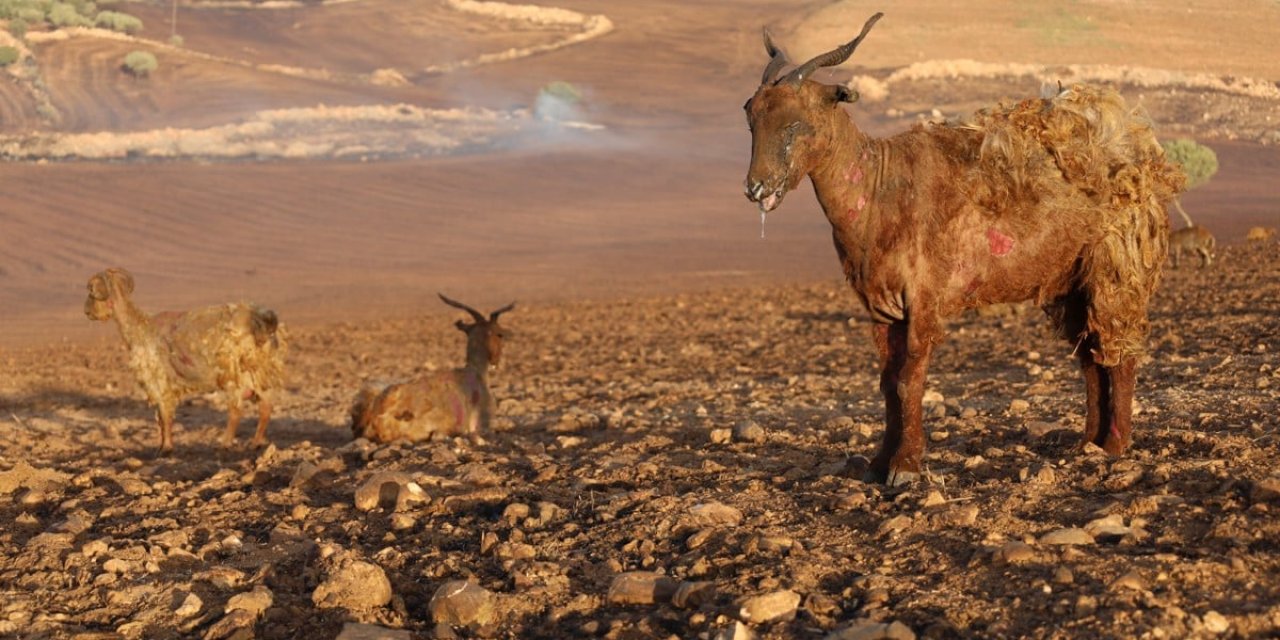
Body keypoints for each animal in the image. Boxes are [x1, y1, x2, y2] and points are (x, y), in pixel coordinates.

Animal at [84, 267, 288, 453]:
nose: (86, 311)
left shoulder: (159, 381)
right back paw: (256, 442)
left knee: (236, 410)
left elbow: (165, 415)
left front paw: (166, 448)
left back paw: (225, 443)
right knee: (266, 407)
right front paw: (162, 446)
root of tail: (262, 321)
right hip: (259, 371)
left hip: (234, 373)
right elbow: (162, 417)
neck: (140, 327)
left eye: (91, 291)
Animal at [747, 12, 1182, 483]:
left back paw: (1117, 446)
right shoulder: (882, 307)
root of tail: (1142, 156)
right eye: (750, 115)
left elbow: (910, 380)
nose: (756, 188)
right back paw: (1089, 444)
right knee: (1090, 357)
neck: (880, 189)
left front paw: (905, 467)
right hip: (1072, 281)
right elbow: (887, 384)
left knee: (1119, 353)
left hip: (1117, 270)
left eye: (797, 123)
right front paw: (879, 464)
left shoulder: (925, 299)